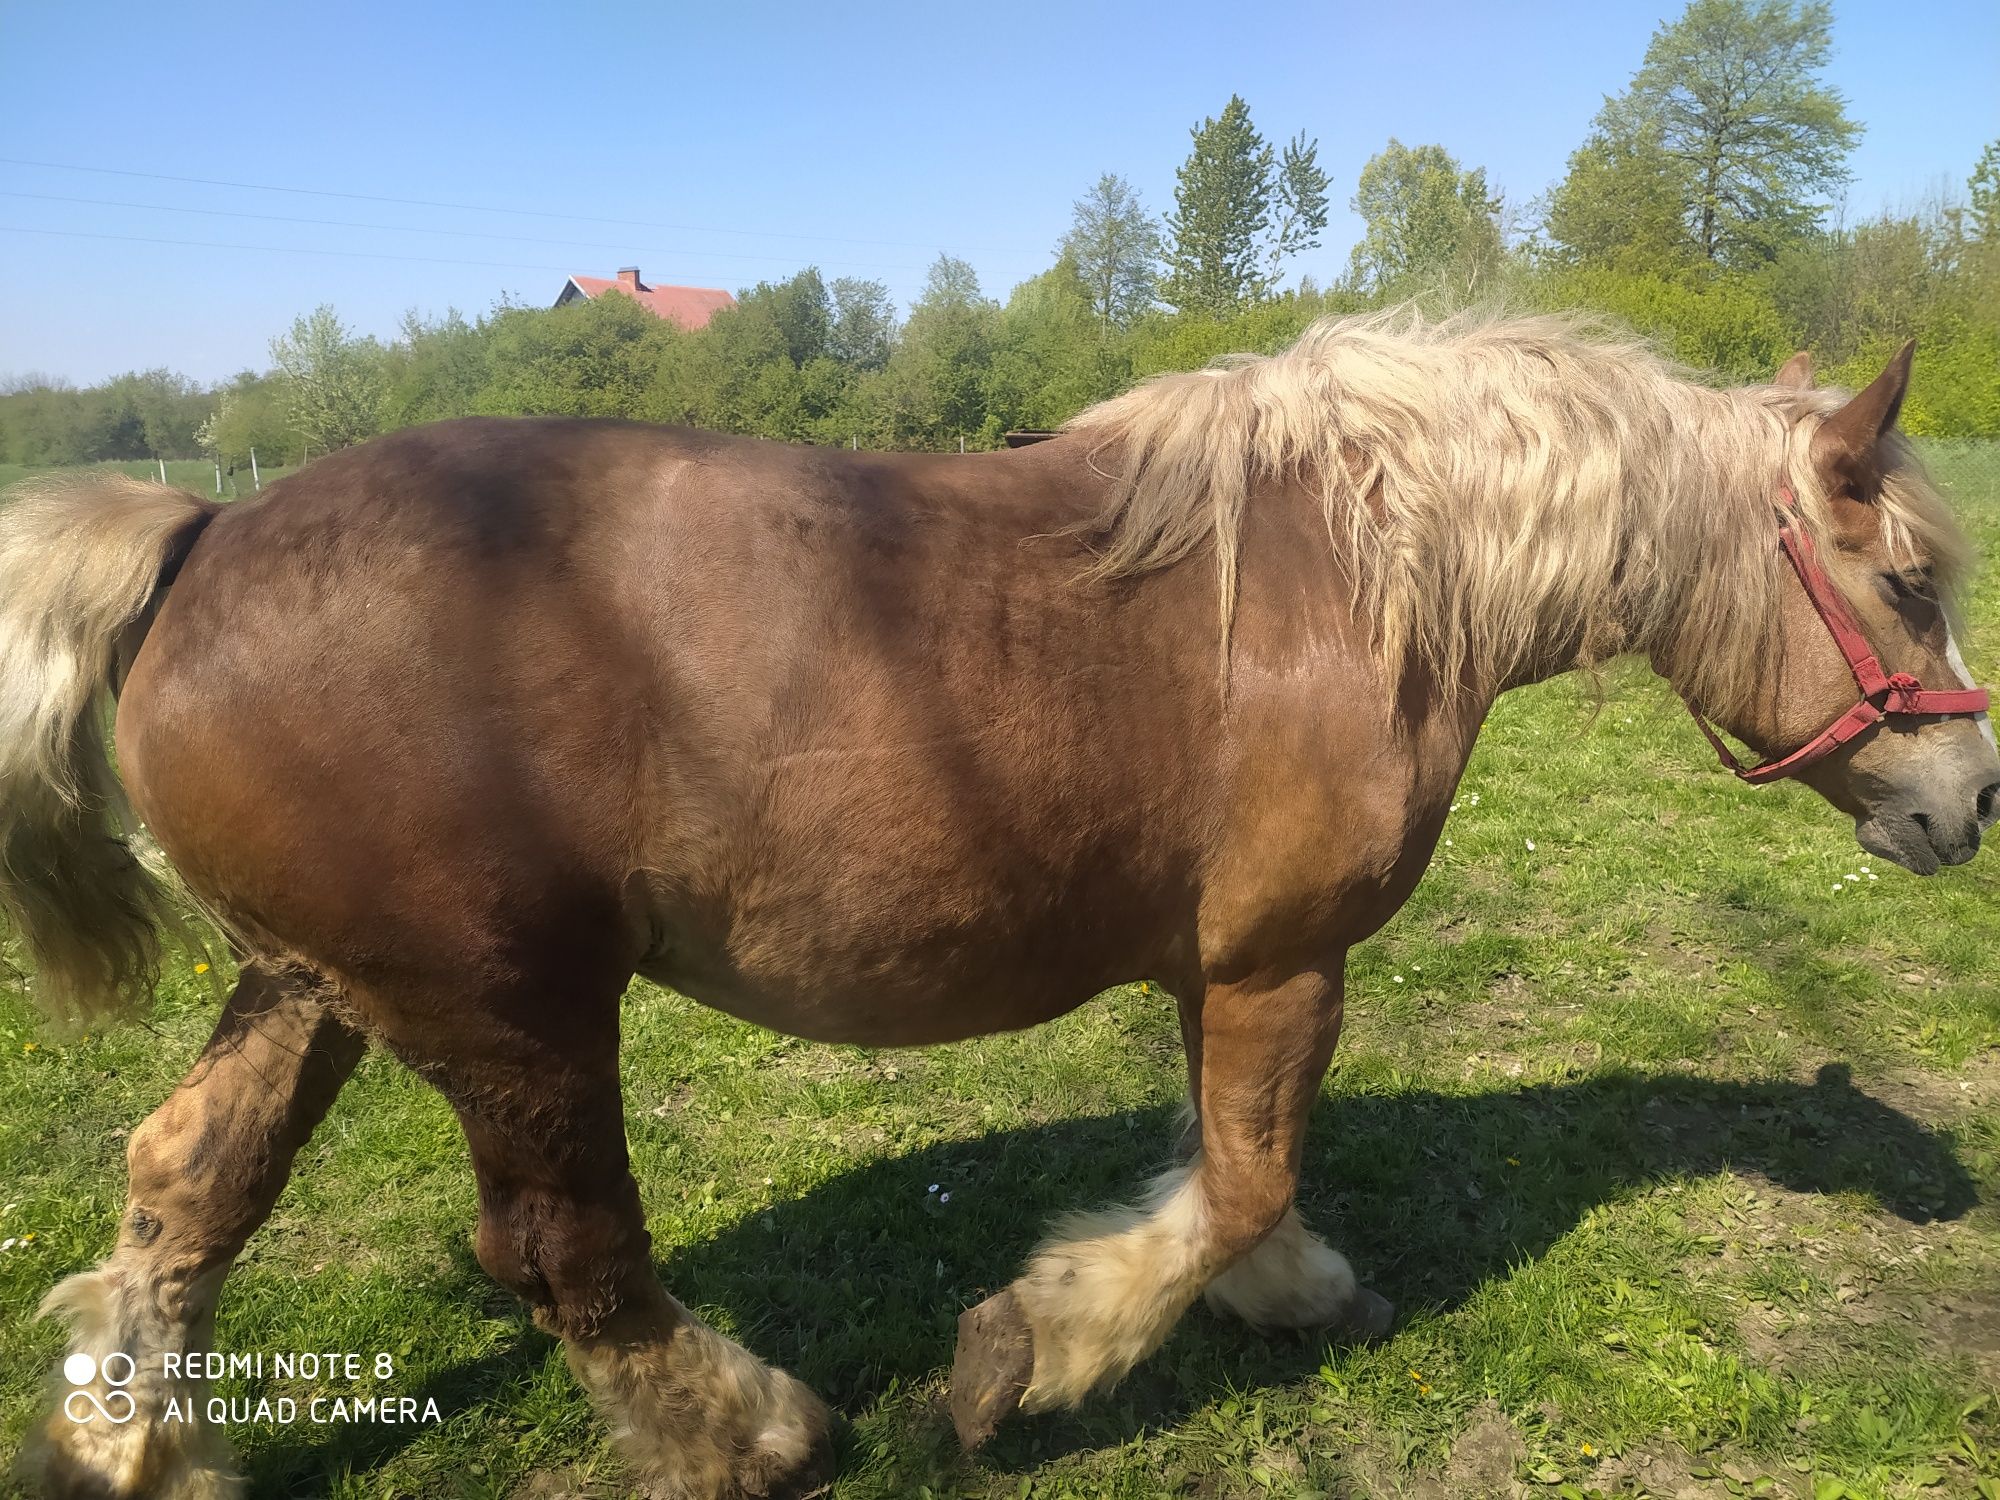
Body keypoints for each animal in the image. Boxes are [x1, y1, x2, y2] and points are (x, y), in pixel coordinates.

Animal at [7, 308, 1992, 1500]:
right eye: (1906, 581)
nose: (1970, 803)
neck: (1351, 572)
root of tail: (205, 537)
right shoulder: (1282, 957)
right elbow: (1239, 1170)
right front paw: (1032, 1355)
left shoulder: (1230, 970)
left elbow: (1239, 1161)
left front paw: (1277, 1288)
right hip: (511, 1019)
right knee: (566, 1259)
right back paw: (746, 1428)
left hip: (313, 990)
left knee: (187, 1184)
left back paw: (135, 1445)